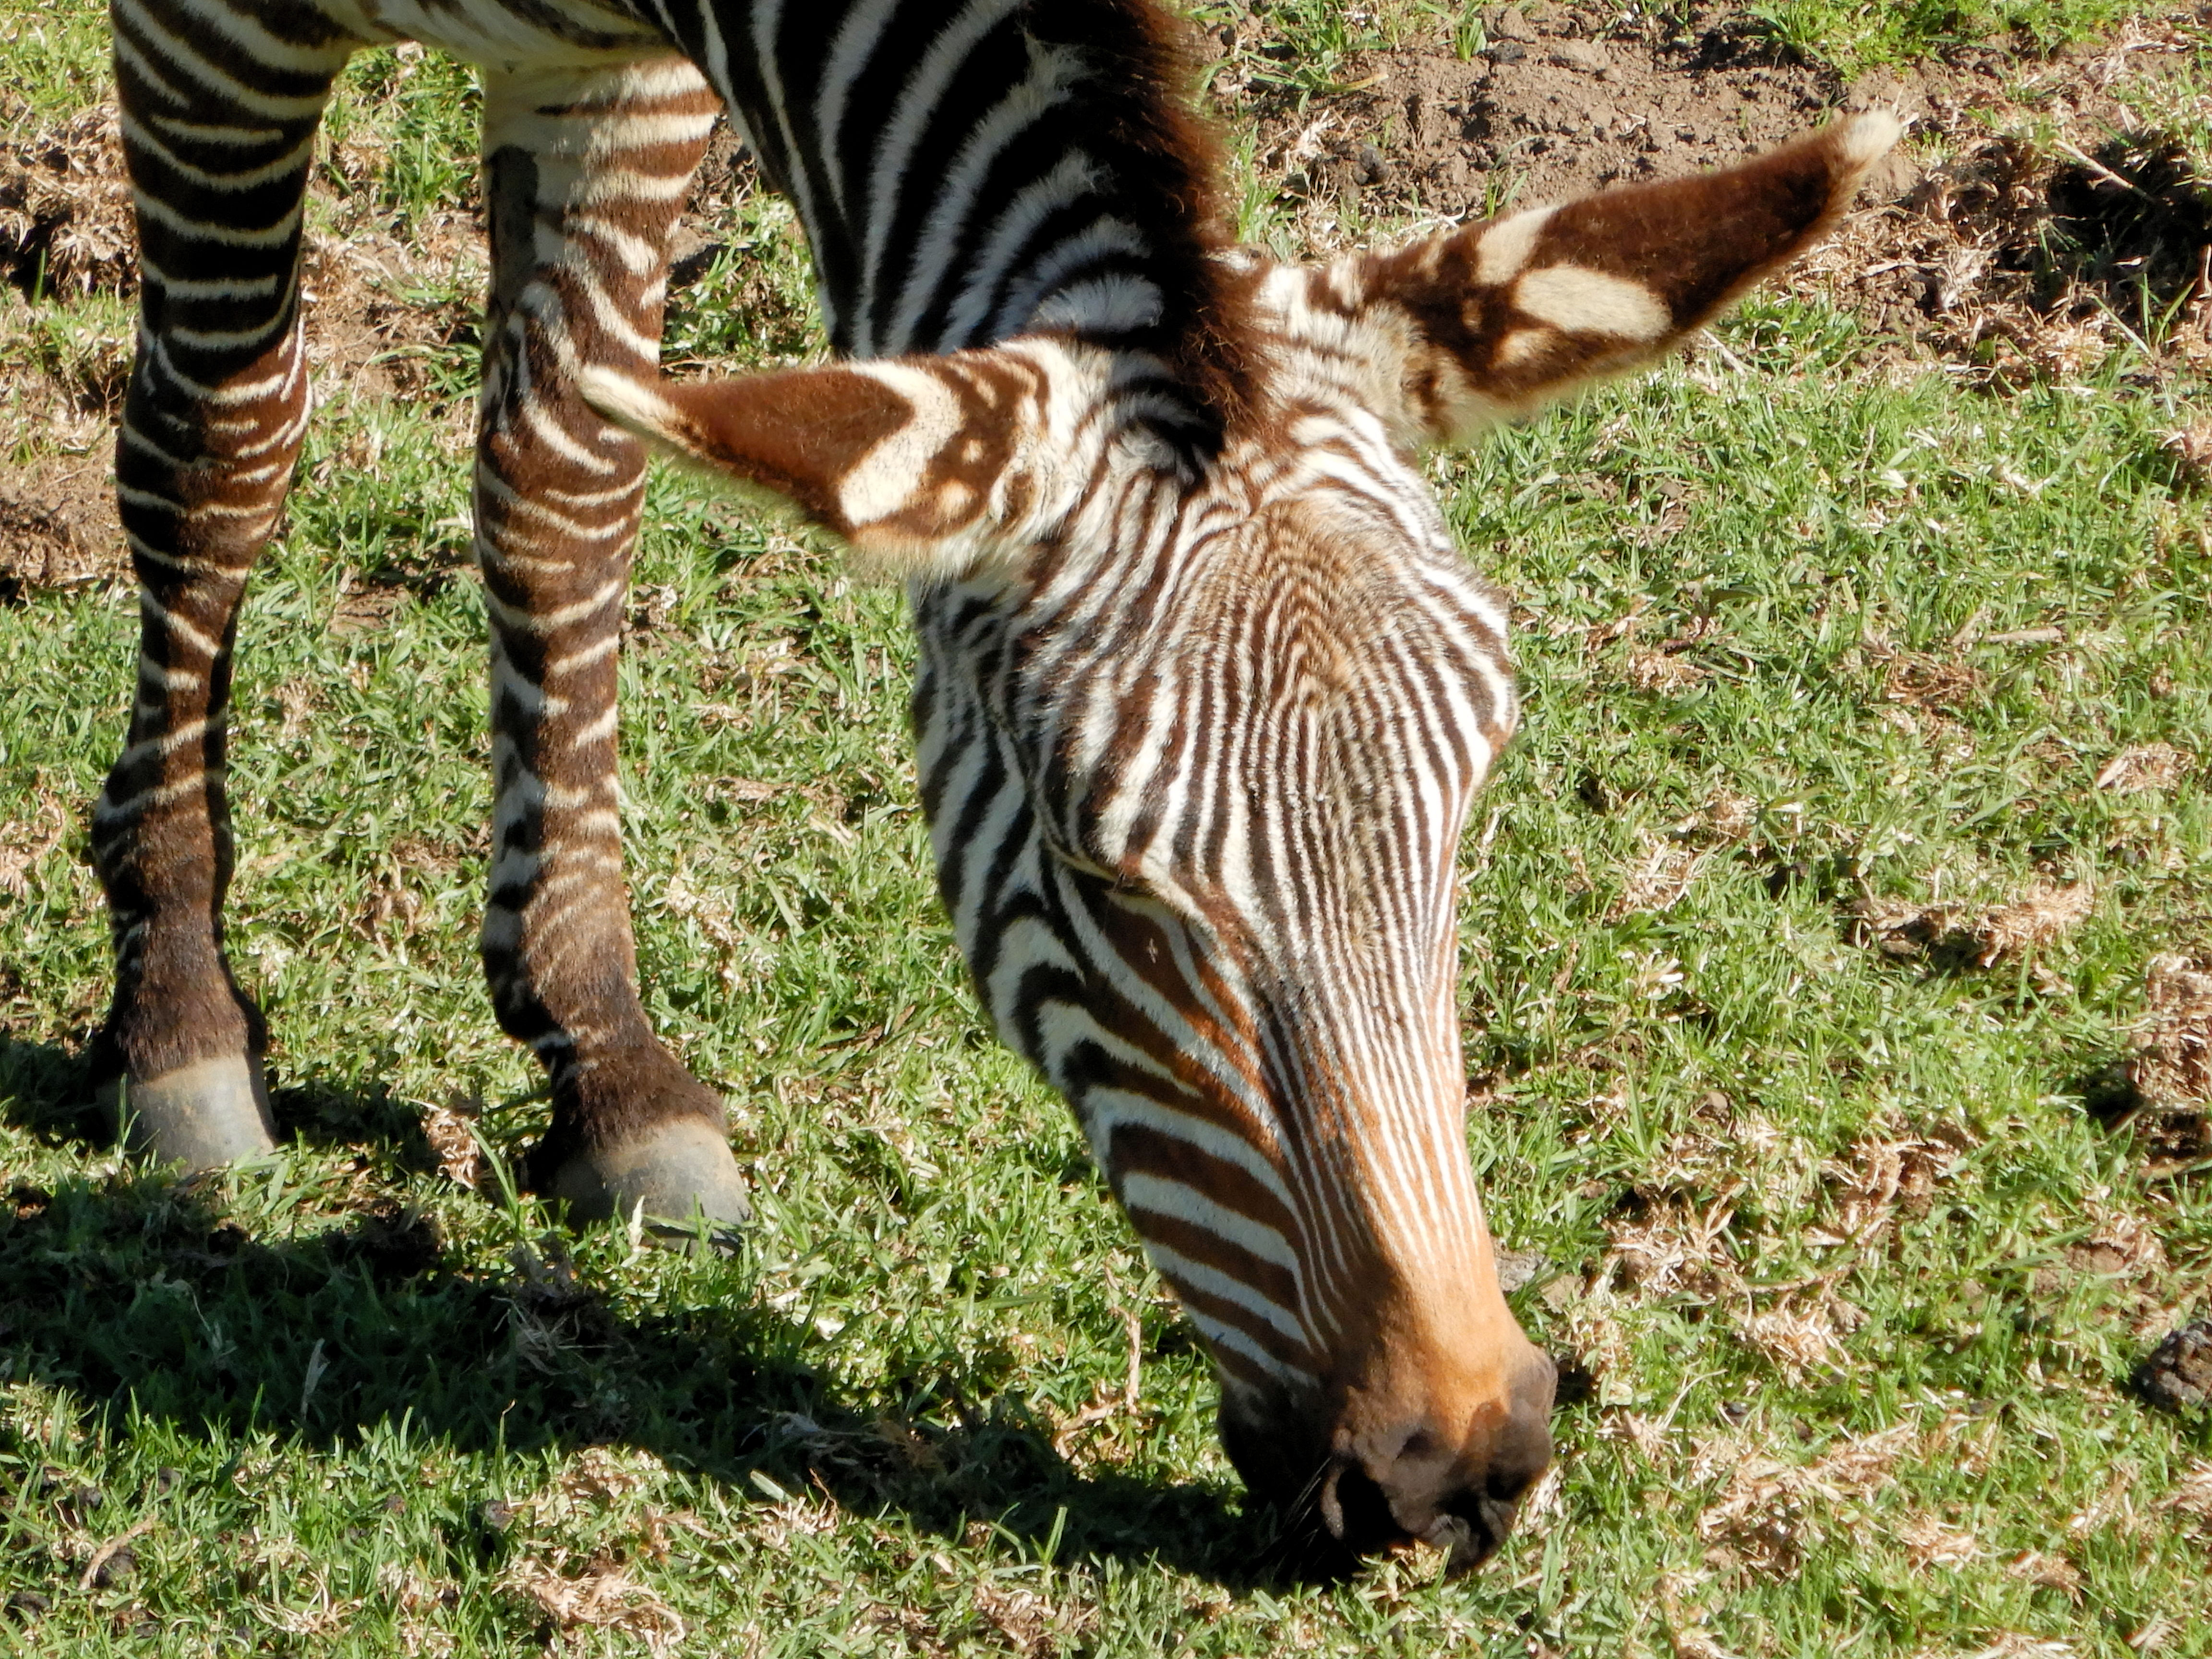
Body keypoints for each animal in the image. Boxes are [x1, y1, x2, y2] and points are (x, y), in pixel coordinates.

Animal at [97, 0, 1897, 1569]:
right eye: (1107, 882)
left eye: (1471, 799)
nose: (1459, 1468)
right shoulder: (209, 34)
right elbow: (219, 446)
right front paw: (177, 1010)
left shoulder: (612, 68)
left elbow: (565, 477)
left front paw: (597, 1044)